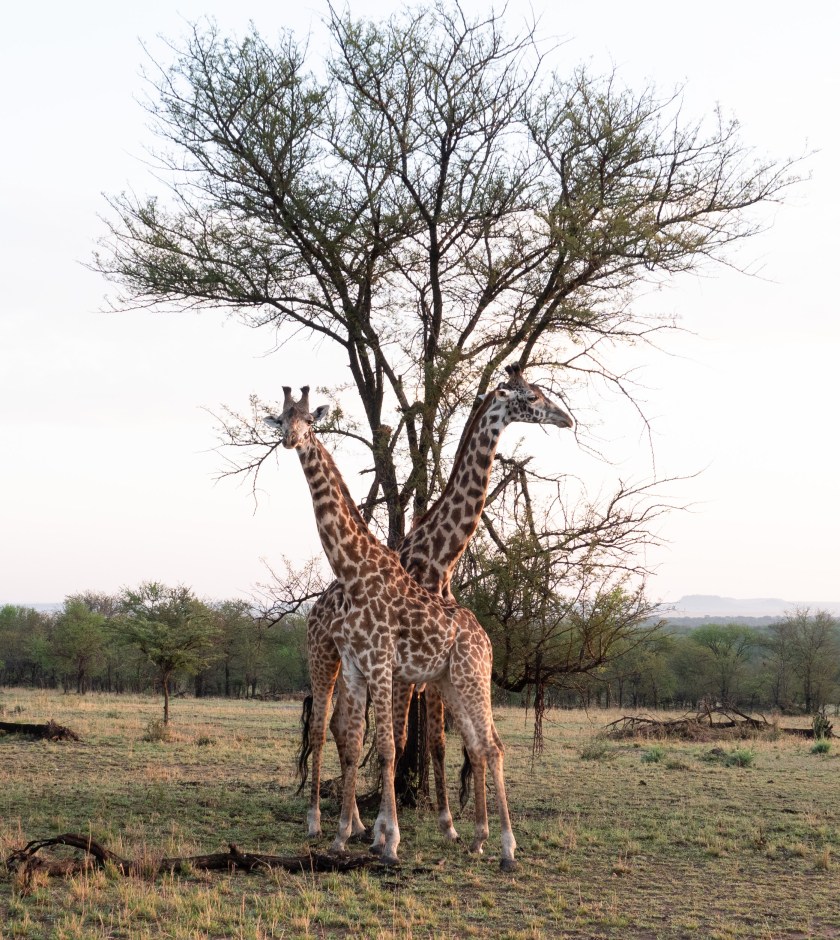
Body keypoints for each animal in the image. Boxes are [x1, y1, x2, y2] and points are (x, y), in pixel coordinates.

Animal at [301, 364, 573, 843]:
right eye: (533, 396)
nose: (567, 419)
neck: (440, 559)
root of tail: (315, 609)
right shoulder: (403, 667)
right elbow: (400, 739)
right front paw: (387, 827)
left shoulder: (430, 667)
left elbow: (438, 742)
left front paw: (449, 825)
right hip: (323, 656)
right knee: (320, 728)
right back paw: (319, 819)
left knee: (342, 728)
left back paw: (352, 821)